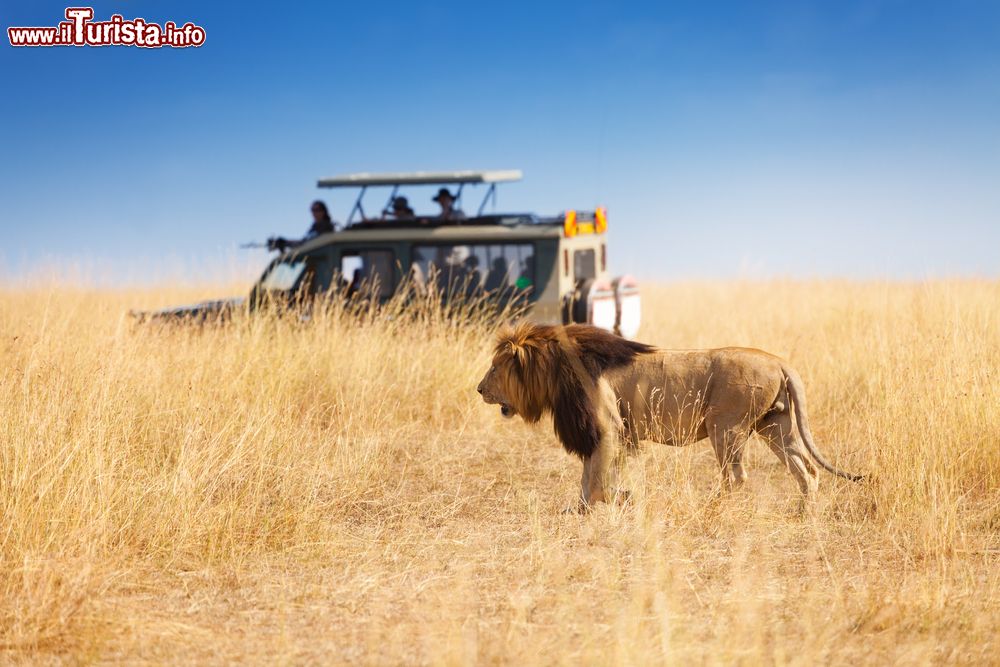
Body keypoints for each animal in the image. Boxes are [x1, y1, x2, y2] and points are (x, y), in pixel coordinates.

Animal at [474, 324, 860, 512]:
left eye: (494, 368)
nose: (479, 389)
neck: (555, 370)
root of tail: (780, 361)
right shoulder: (607, 433)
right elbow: (589, 476)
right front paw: (585, 508)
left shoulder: (608, 428)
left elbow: (597, 479)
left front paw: (619, 499)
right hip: (775, 426)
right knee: (806, 470)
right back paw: (804, 513)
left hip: (726, 427)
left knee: (736, 477)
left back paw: (711, 508)